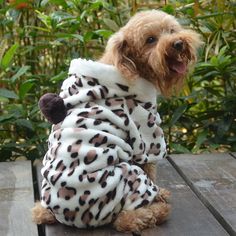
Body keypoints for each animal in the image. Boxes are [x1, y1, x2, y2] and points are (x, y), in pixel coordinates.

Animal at [31, 9, 201, 232]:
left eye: (171, 30)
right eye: (150, 40)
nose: (178, 43)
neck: (130, 69)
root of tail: (69, 217)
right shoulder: (148, 136)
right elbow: (150, 167)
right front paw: (160, 194)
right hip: (128, 174)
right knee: (125, 218)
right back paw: (156, 207)